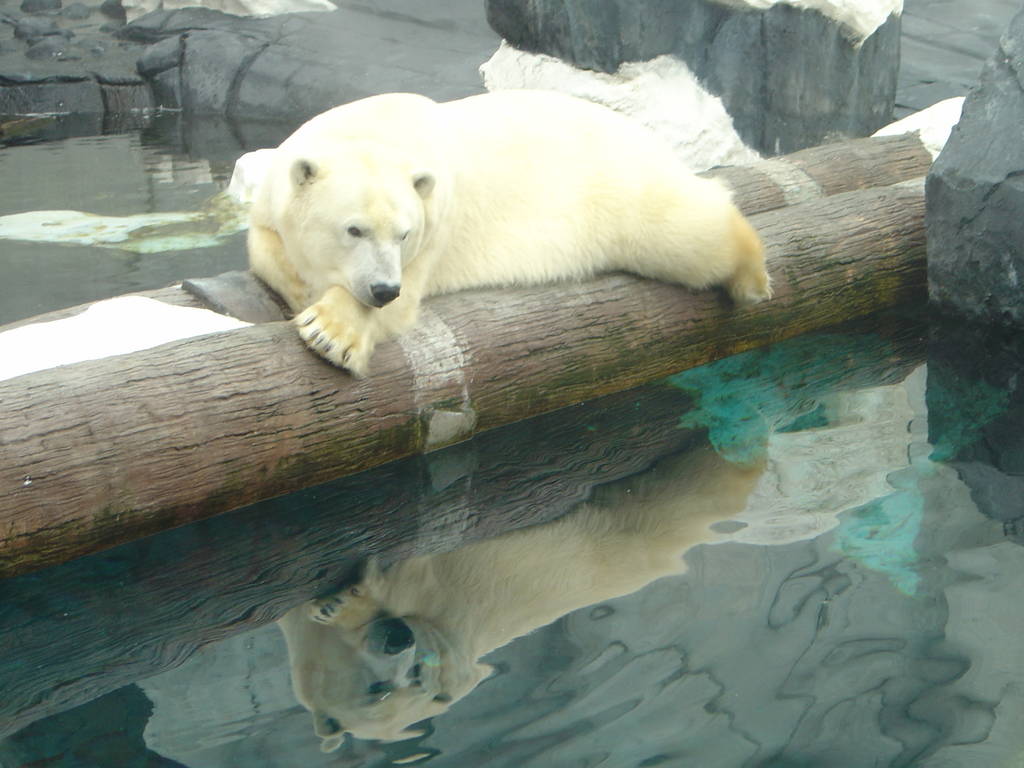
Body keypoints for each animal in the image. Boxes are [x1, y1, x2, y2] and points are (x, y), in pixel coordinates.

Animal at [248, 90, 771, 377]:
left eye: (403, 234)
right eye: (353, 229)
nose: (382, 288)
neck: (374, 131)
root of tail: (650, 137)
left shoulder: (434, 228)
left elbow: (404, 302)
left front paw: (331, 334)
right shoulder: (275, 192)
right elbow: (263, 245)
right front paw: (305, 287)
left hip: (617, 189)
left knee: (685, 232)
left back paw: (752, 278)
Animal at [276, 445, 764, 750]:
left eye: (416, 676)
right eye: (375, 690)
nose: (398, 638)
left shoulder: (444, 601)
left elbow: (410, 578)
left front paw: (340, 602)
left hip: (642, 521)